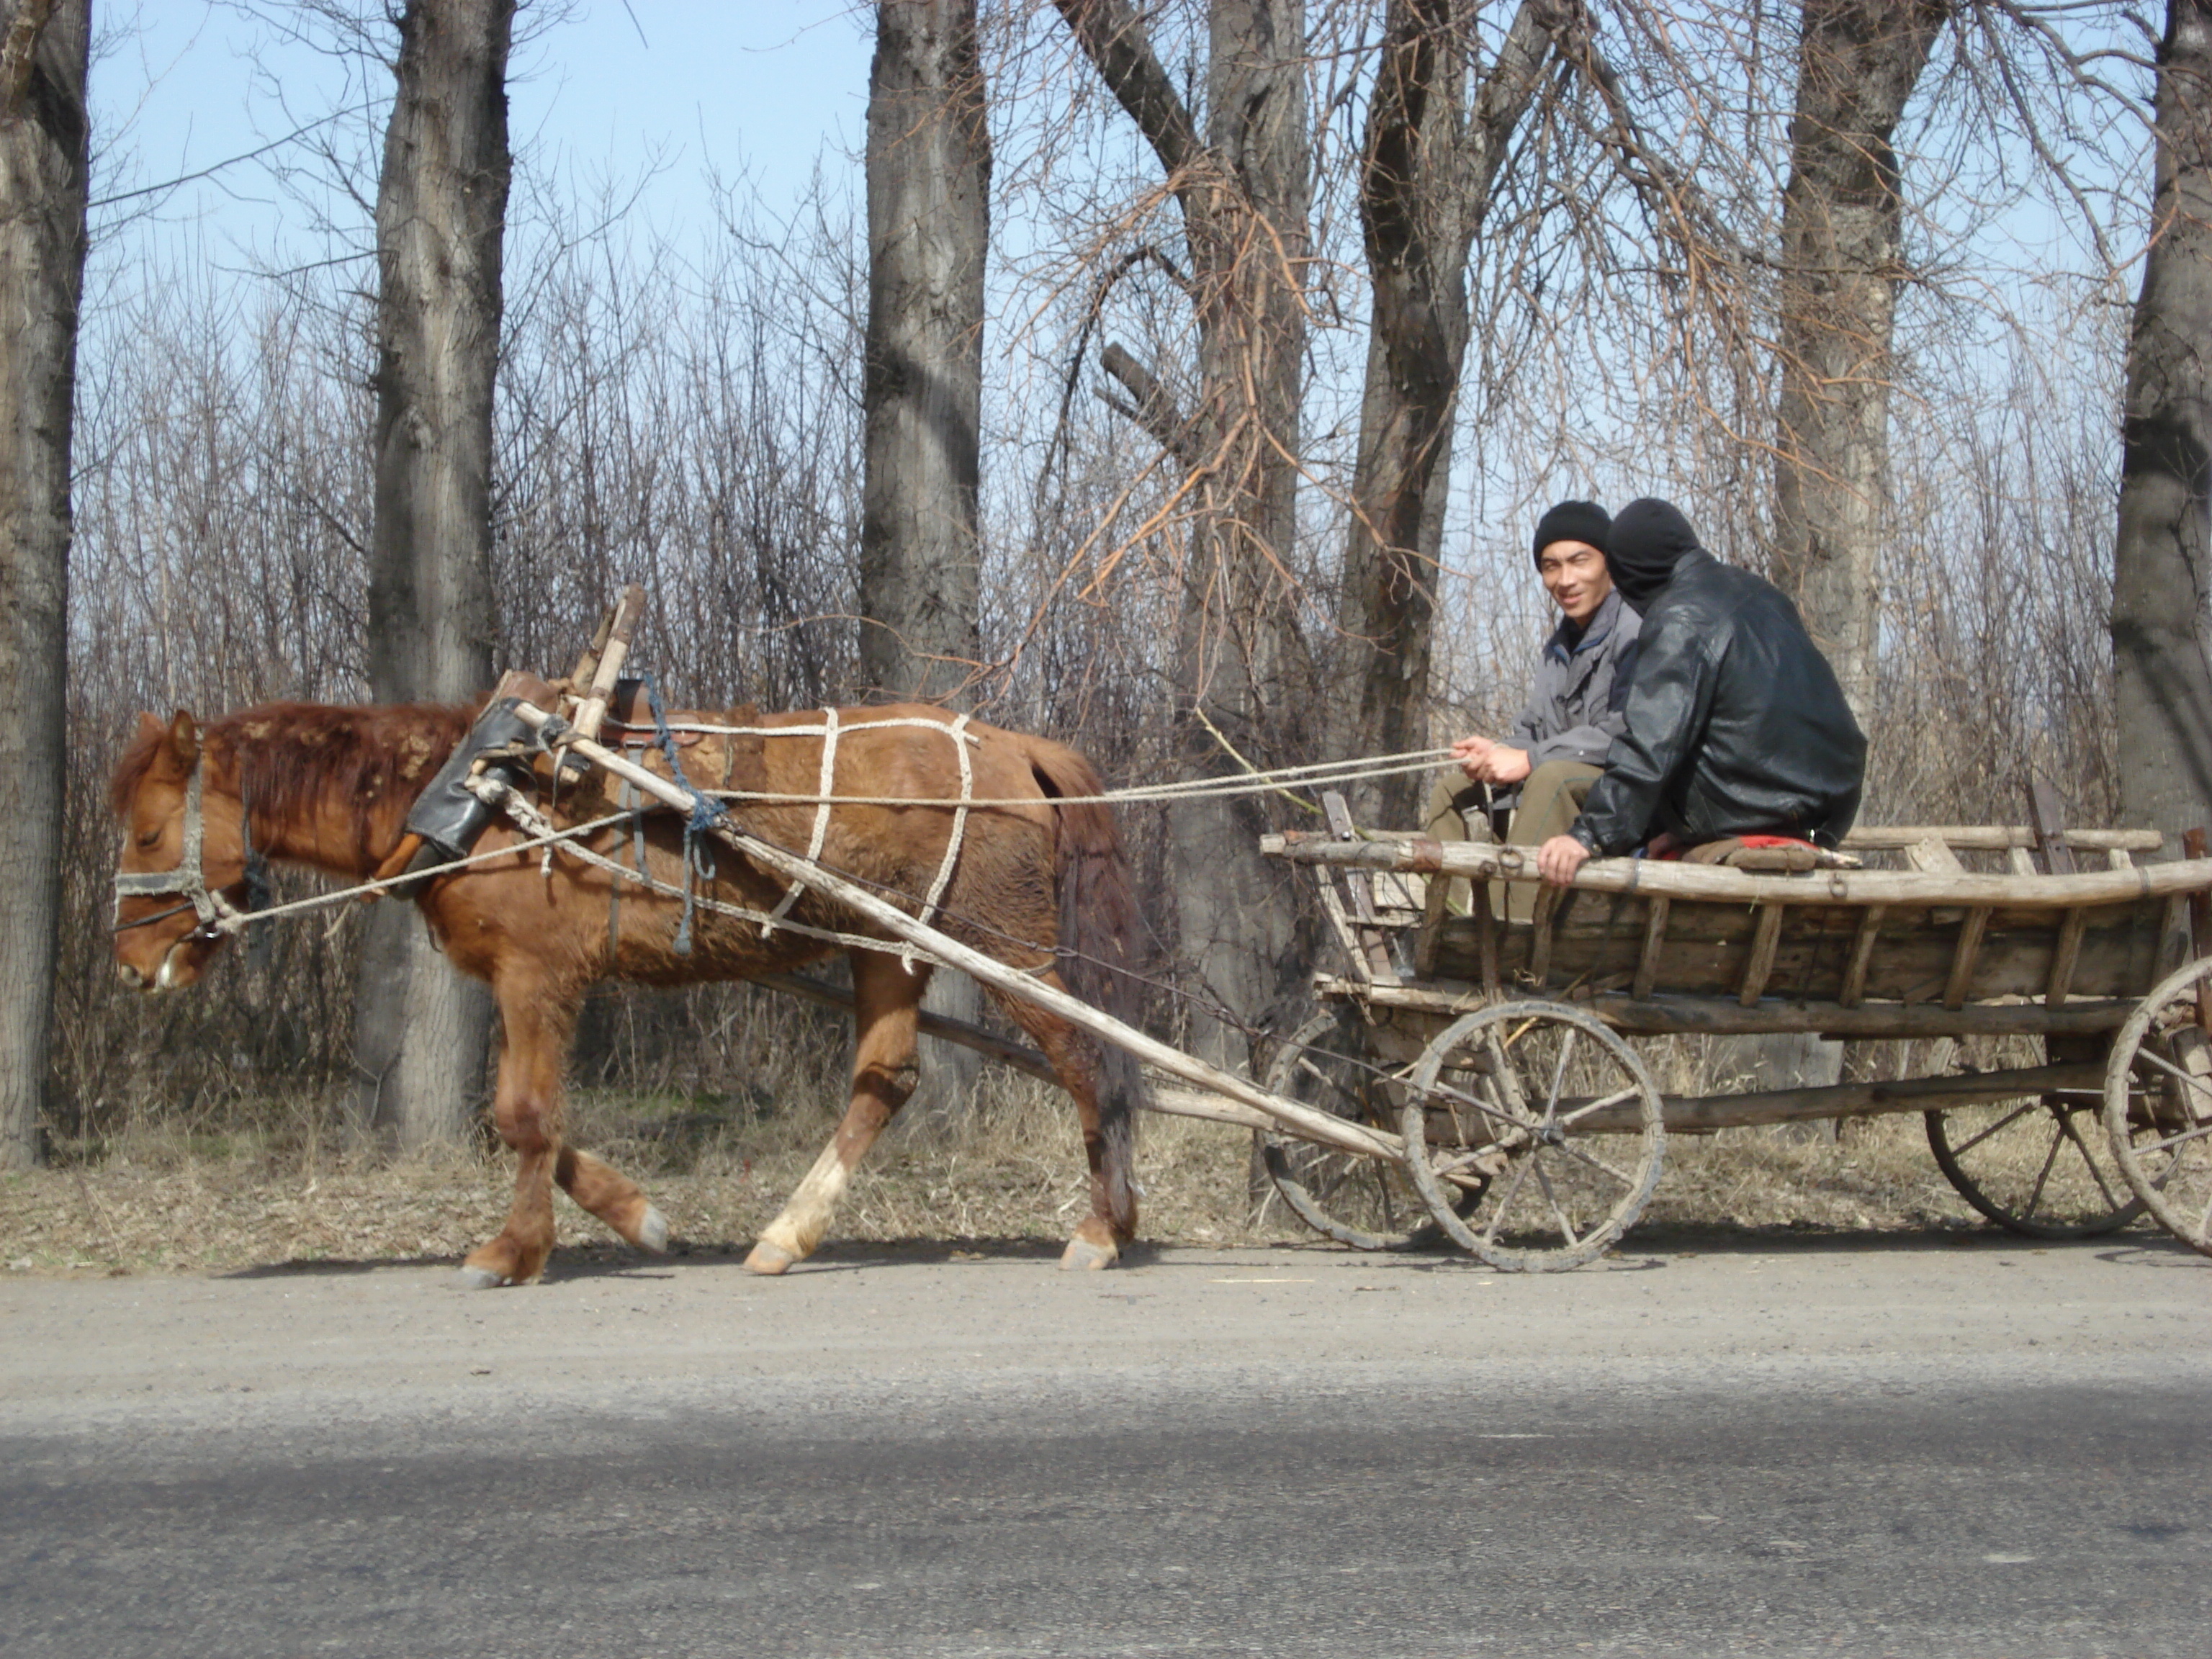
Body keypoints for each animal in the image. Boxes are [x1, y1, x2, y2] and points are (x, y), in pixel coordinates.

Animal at [105, 698, 1150, 1282]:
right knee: (883, 1080)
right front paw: (636, 1217)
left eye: (148, 833)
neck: (477, 795)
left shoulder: (535, 978)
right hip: (887, 944)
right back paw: (787, 1234)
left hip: (999, 940)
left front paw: (510, 1253)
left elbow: (523, 1115)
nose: (129, 960)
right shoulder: (535, 984)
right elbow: (530, 1121)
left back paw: (1104, 1227)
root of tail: (1011, 743)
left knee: (1084, 1052)